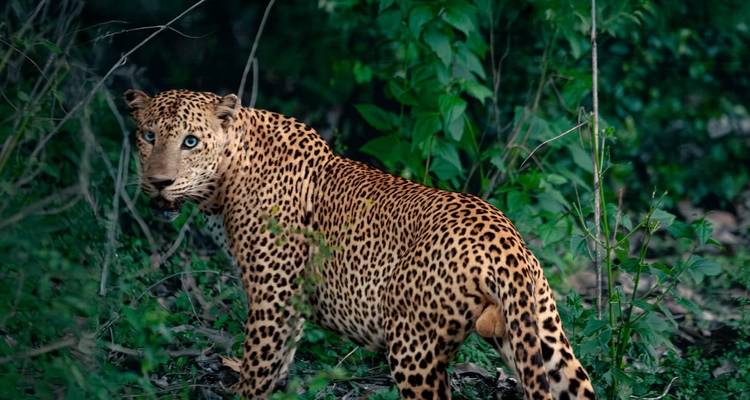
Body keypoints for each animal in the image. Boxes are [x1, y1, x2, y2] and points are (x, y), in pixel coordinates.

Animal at [124, 88, 596, 400]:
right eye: (147, 136)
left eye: (190, 141)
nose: (159, 182)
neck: (226, 179)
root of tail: (504, 237)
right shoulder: (290, 306)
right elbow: (277, 366)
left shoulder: (271, 298)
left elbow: (256, 372)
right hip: (543, 337)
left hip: (414, 347)